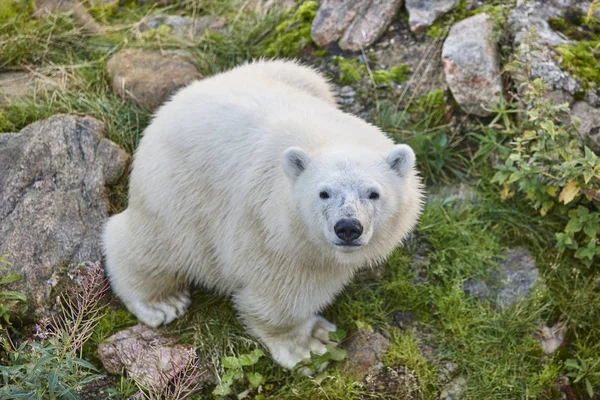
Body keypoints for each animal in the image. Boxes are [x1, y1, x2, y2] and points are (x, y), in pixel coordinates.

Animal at [102, 60, 422, 372]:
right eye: (323, 193)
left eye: (373, 193)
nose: (348, 227)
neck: (325, 137)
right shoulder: (266, 223)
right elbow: (281, 288)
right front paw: (310, 344)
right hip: (177, 191)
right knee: (156, 243)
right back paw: (161, 302)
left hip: (299, 74)